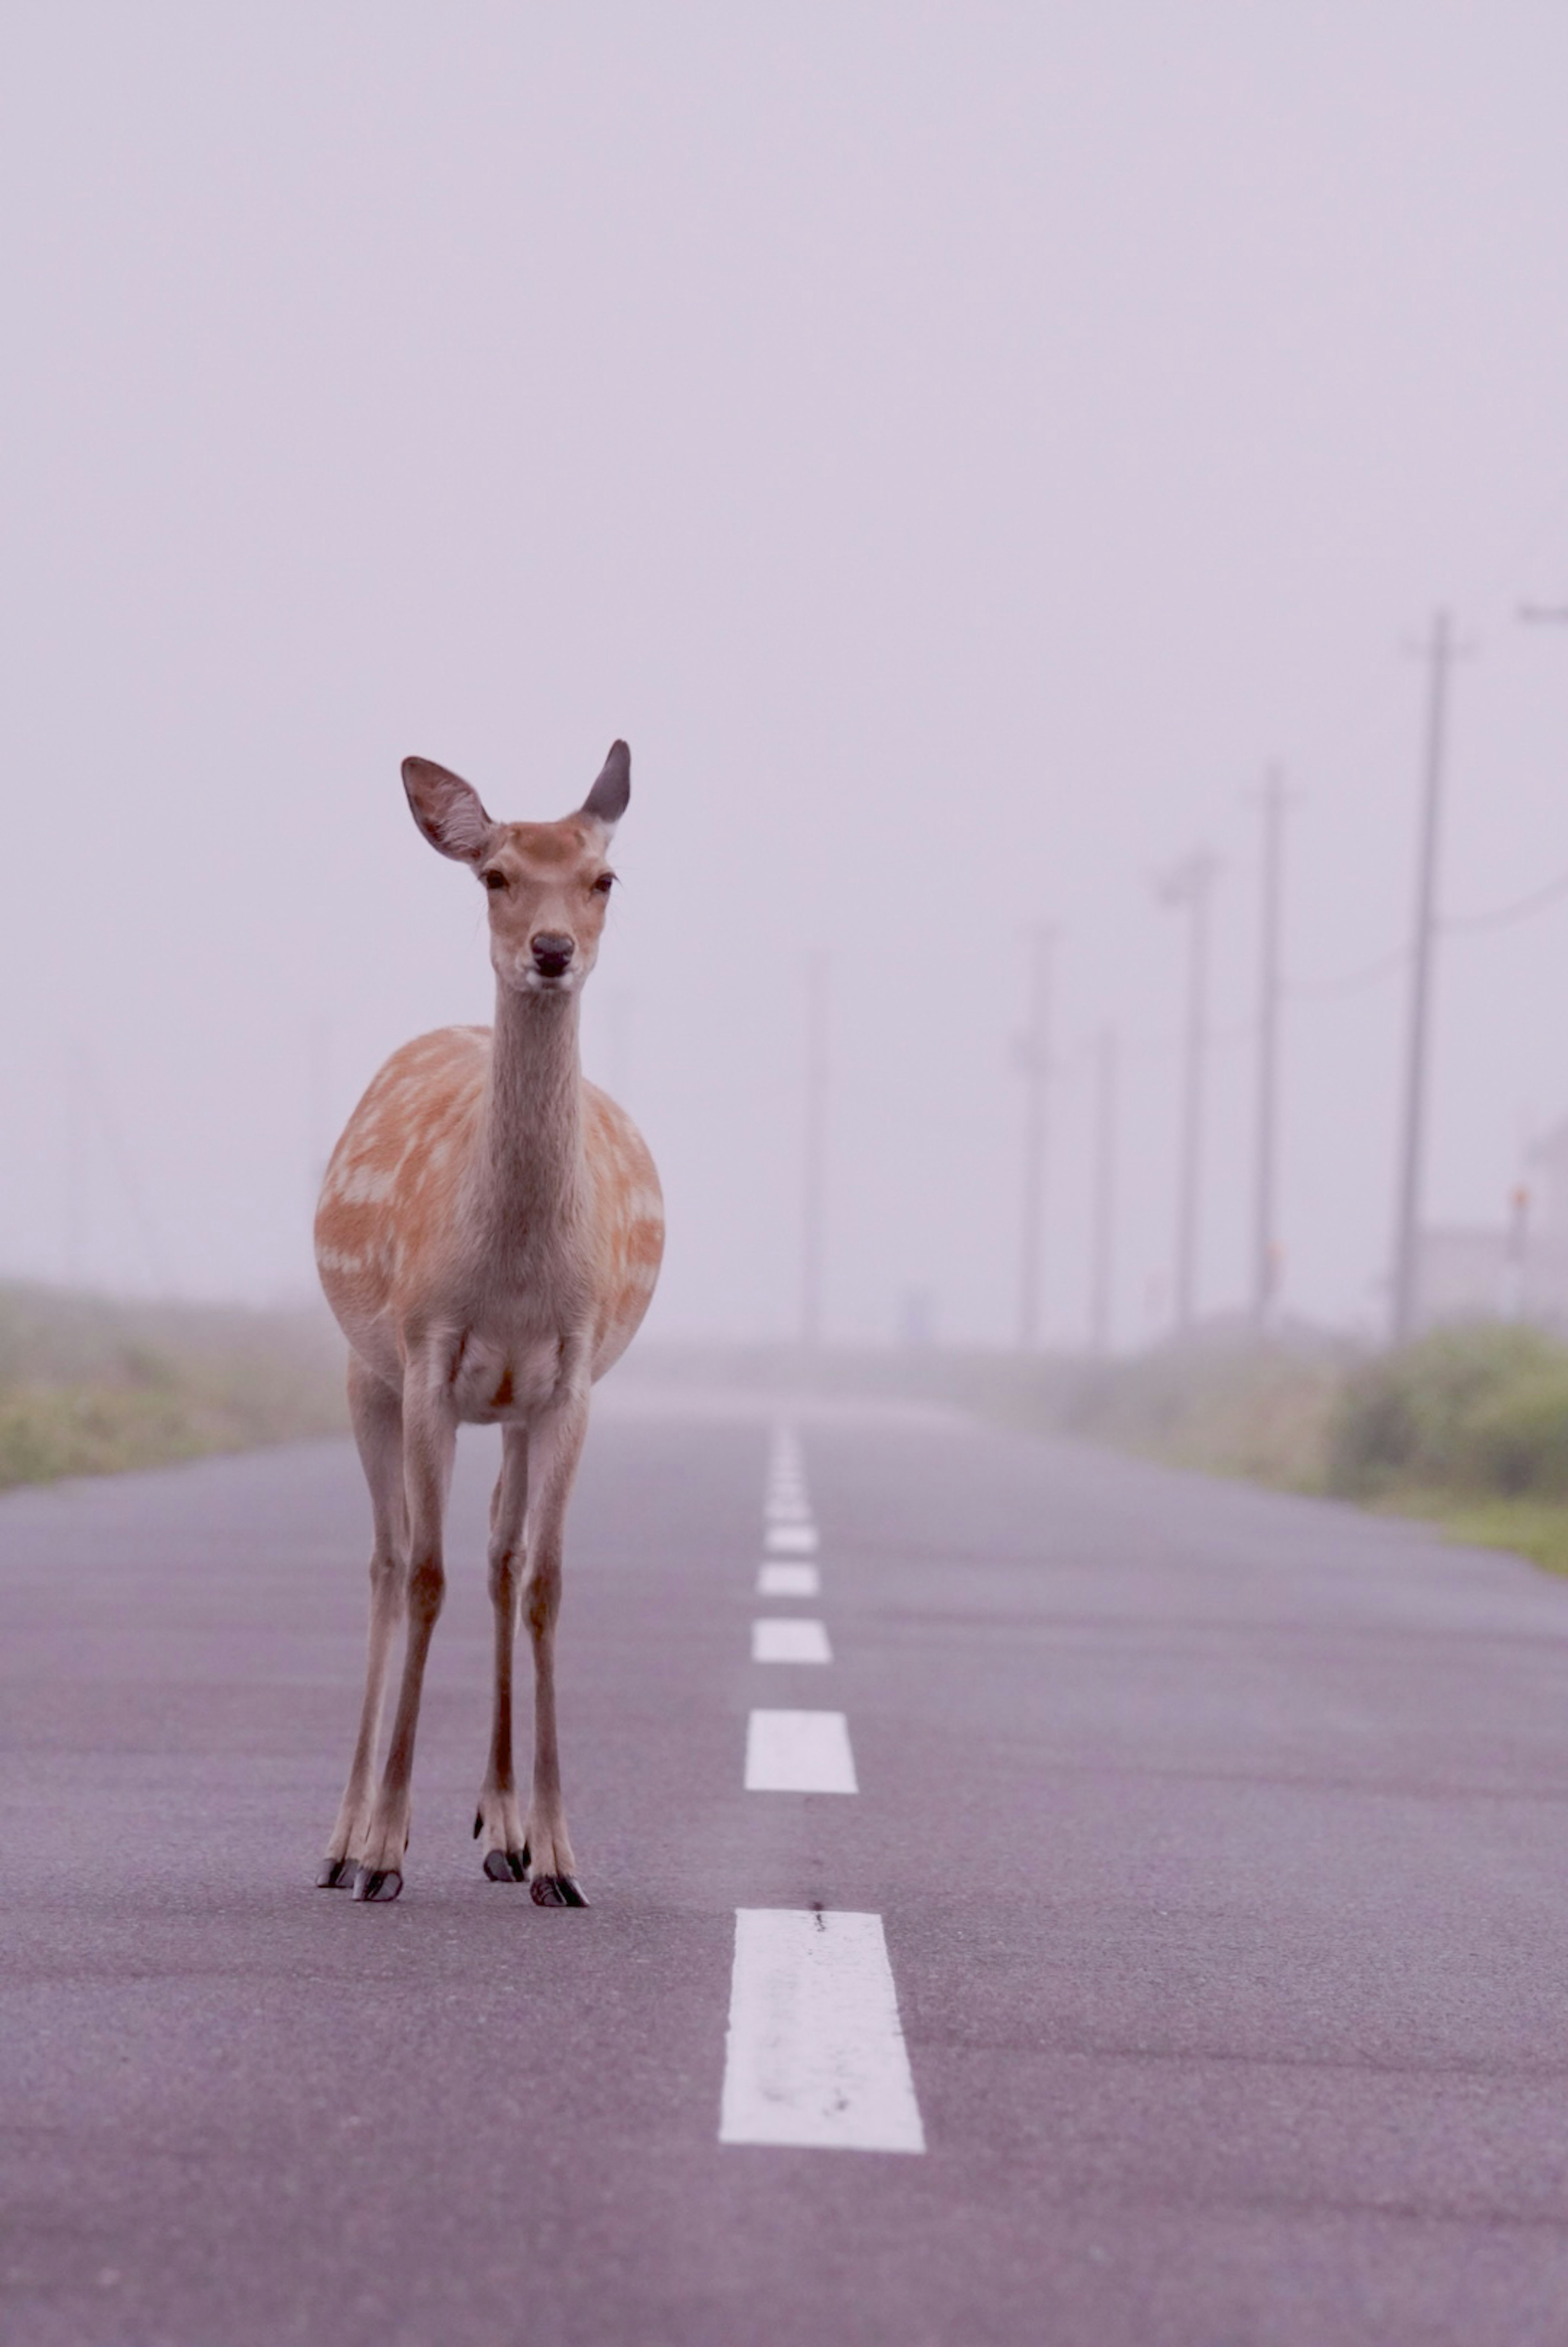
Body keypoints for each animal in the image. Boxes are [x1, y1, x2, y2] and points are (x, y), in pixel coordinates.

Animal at [312, 741, 662, 1896]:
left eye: (604, 877)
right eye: (496, 874)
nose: (550, 950)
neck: (511, 1275)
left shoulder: (568, 1374)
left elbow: (543, 1579)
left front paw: (559, 1851)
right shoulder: (426, 1352)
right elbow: (425, 1573)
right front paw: (384, 1847)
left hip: (505, 1407)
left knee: (504, 1559)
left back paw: (501, 1827)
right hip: (366, 1372)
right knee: (385, 1563)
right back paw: (342, 1839)